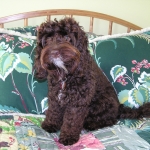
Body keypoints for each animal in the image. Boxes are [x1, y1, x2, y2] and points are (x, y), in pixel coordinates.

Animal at [33, 17, 150, 145]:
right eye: (48, 39)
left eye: (67, 38)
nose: (54, 52)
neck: (66, 74)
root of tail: (119, 108)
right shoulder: (54, 96)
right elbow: (53, 112)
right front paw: (50, 124)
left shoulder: (78, 102)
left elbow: (71, 121)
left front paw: (68, 137)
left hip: (103, 101)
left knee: (111, 120)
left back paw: (91, 124)